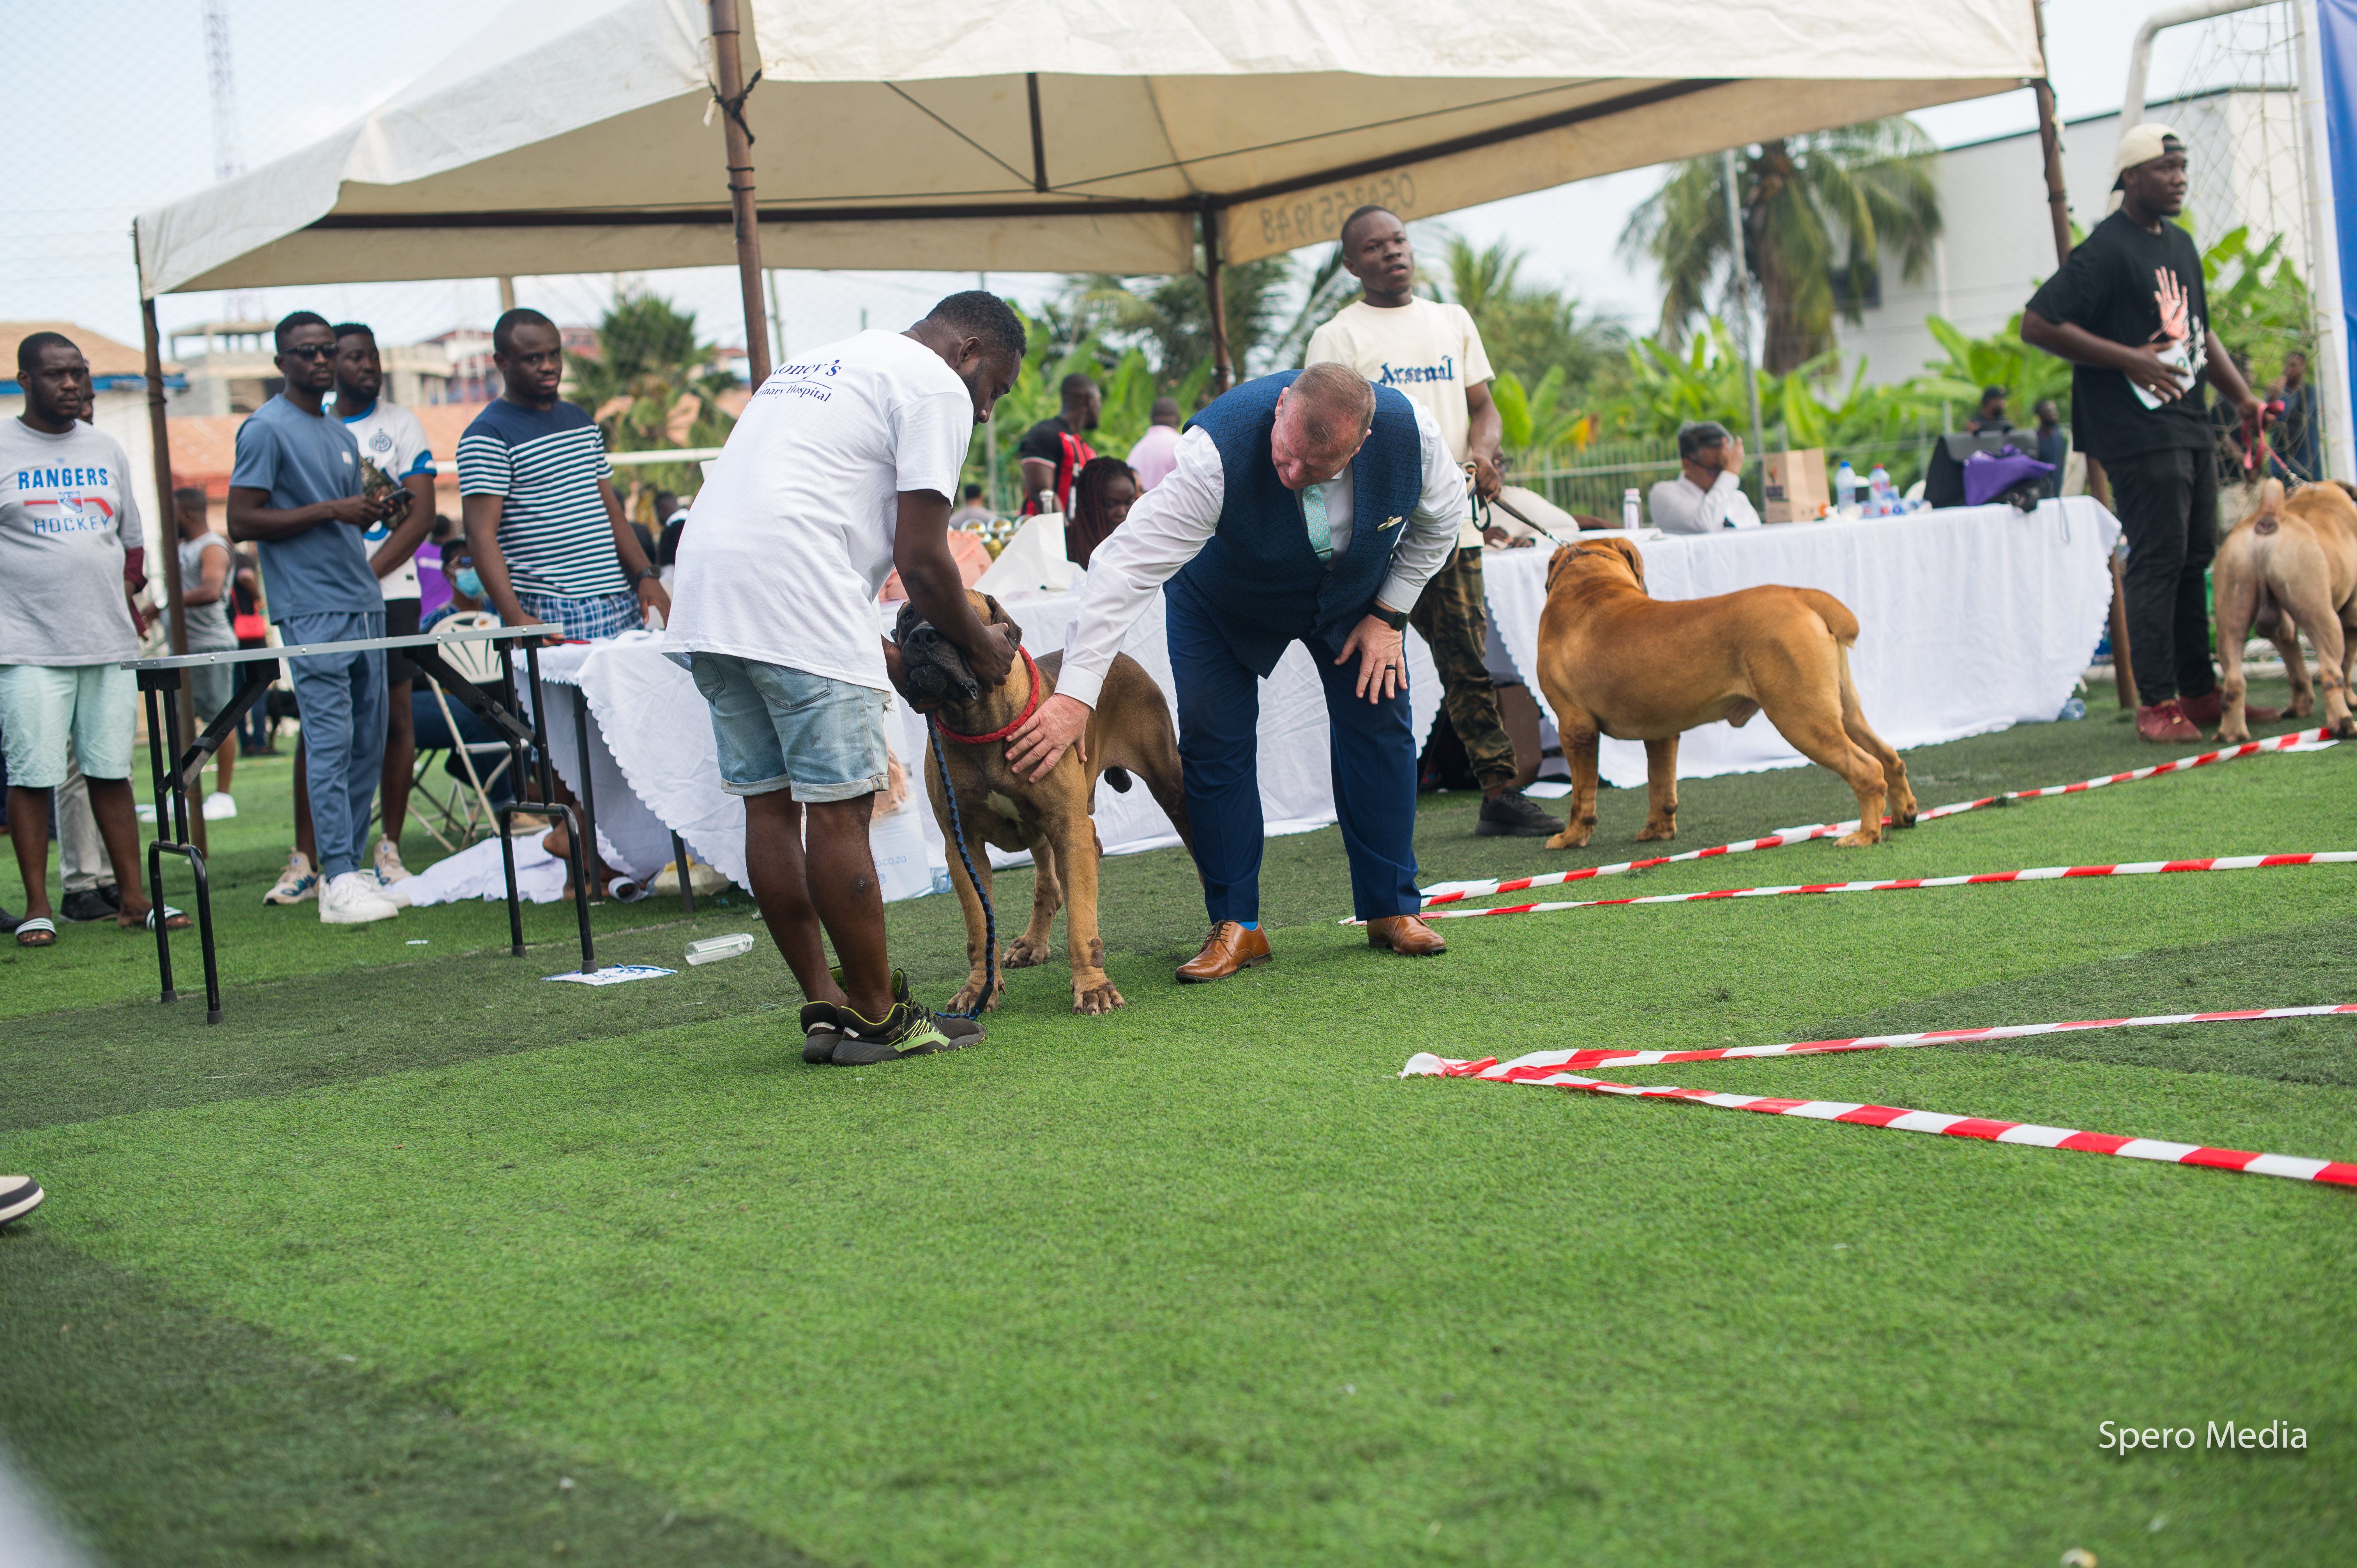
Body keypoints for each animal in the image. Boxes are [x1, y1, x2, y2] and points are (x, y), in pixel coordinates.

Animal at [894, 591, 1192, 1015]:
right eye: (906, 617)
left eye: (957, 612)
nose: (922, 637)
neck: (978, 723)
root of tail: (1122, 658)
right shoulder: (962, 847)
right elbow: (979, 927)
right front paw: (978, 990)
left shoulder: (1070, 828)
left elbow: (1082, 922)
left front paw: (1094, 988)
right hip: (1039, 829)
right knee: (1048, 885)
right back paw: (1032, 944)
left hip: (1167, 782)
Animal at [1531, 536, 1918, 849]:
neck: (1590, 585)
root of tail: (1801, 595)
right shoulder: (1661, 732)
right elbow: (1661, 785)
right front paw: (1658, 831)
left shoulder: (1575, 728)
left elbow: (1582, 796)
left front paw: (1571, 838)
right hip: (1843, 710)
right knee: (1889, 758)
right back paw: (1904, 816)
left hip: (1801, 718)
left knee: (1867, 770)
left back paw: (1865, 835)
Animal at [2214, 477, 2357, 742]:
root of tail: (2270, 515)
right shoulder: (2351, 619)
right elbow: (2347, 664)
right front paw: (2352, 700)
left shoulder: (2283, 629)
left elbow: (2296, 668)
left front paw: (2300, 707)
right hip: (2323, 619)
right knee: (2332, 673)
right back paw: (2343, 724)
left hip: (2231, 615)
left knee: (2234, 682)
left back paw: (2232, 735)